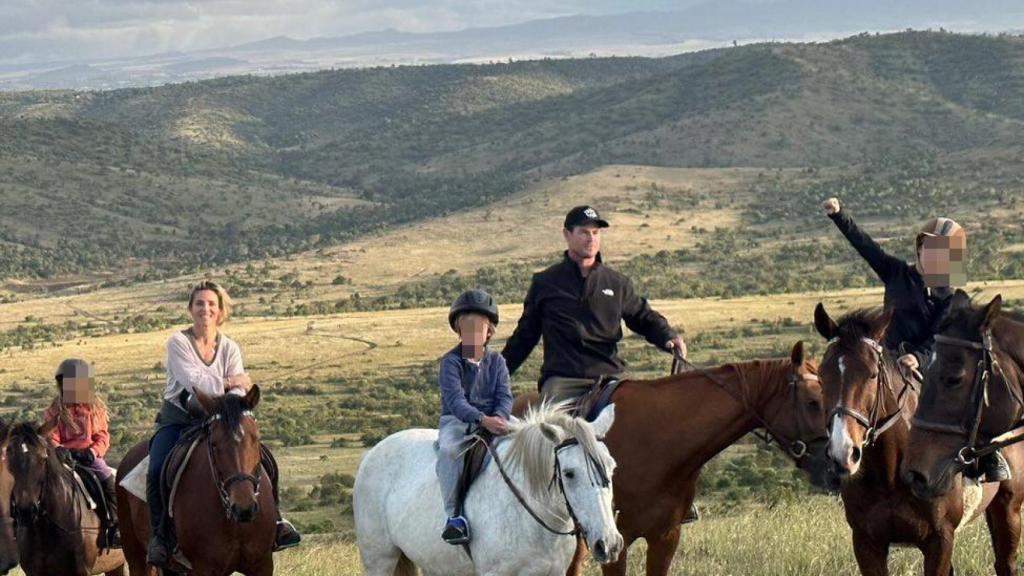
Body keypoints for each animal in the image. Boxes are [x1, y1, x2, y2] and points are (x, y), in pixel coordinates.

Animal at [117, 386, 276, 576]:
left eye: (256, 438)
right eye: (214, 444)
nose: (243, 508)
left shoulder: (263, 564)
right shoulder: (203, 567)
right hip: (136, 556)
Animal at [815, 303, 1007, 576]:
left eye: (872, 375)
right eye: (821, 377)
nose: (843, 453)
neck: (890, 474)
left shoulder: (940, 540)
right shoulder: (866, 543)